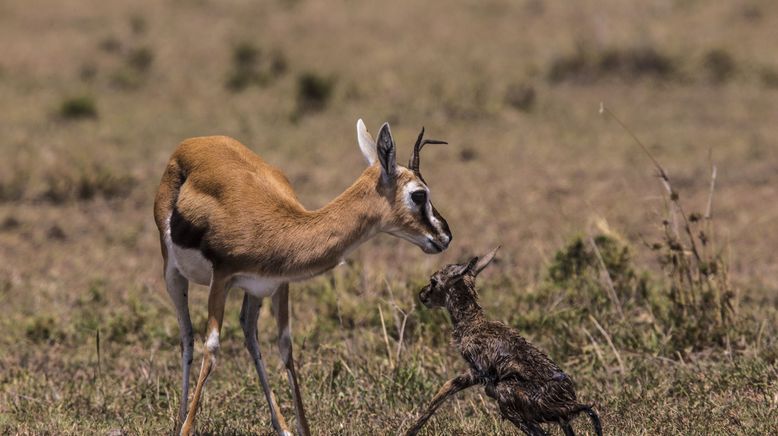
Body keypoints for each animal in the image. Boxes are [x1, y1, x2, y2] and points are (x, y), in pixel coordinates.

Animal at [406, 249, 600, 436]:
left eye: (434, 280)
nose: (422, 294)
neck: (472, 323)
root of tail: (569, 403)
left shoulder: (478, 372)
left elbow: (444, 389)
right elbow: (447, 388)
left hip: (508, 399)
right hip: (559, 421)